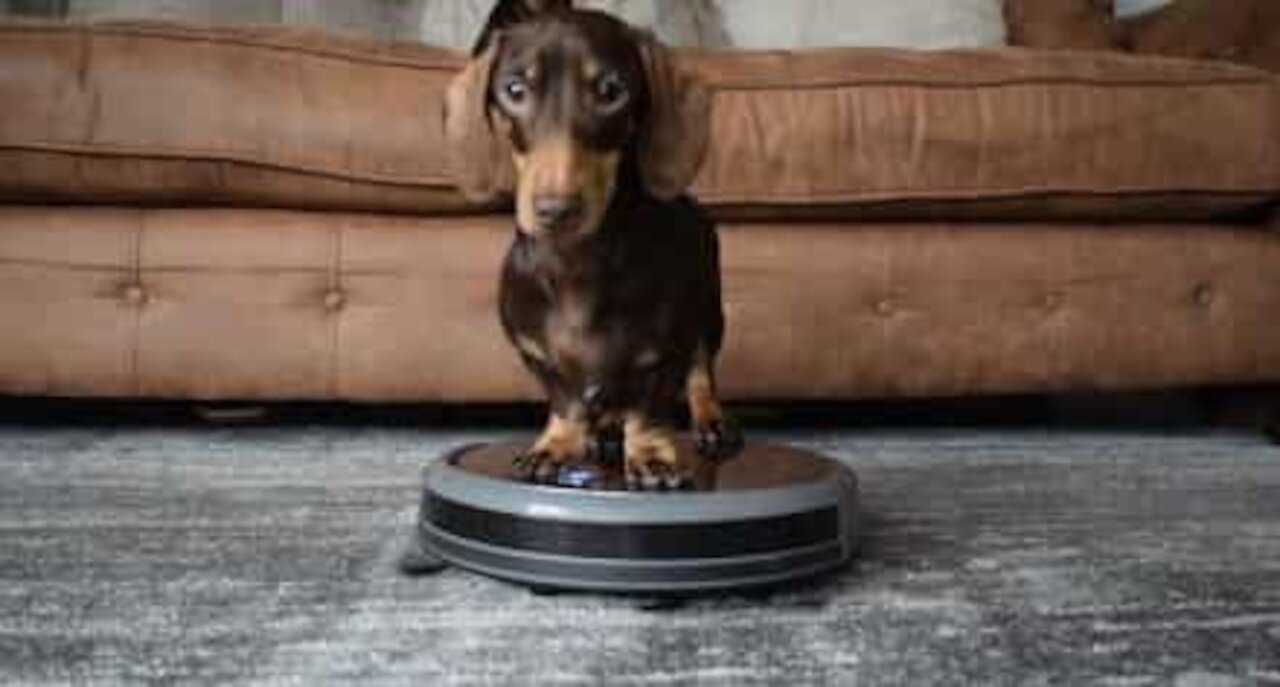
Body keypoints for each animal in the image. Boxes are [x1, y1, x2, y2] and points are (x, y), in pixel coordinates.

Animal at [445, 2, 742, 491]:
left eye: (610, 90)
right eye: (514, 89)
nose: (555, 209)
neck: (576, 264)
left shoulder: (666, 350)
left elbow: (650, 403)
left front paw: (651, 455)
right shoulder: (534, 350)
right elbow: (565, 398)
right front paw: (558, 444)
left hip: (710, 312)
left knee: (701, 372)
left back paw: (709, 421)